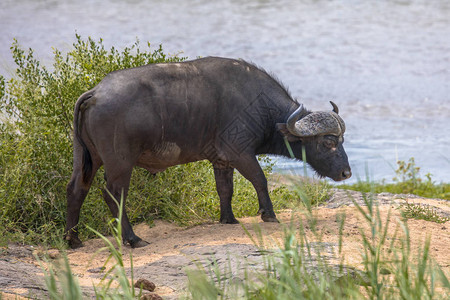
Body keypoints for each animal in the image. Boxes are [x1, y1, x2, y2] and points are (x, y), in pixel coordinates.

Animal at [65, 56, 352, 248]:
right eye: (327, 142)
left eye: (342, 139)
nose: (346, 173)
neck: (259, 107)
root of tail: (96, 92)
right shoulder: (240, 153)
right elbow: (260, 180)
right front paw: (268, 214)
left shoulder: (221, 160)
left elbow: (225, 189)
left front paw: (228, 219)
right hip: (120, 164)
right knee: (113, 194)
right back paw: (133, 239)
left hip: (86, 159)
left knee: (77, 189)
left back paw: (73, 240)